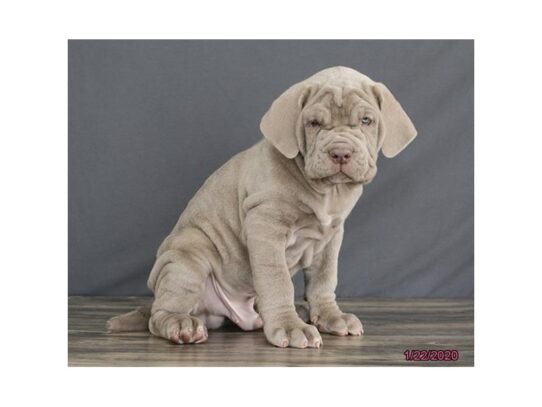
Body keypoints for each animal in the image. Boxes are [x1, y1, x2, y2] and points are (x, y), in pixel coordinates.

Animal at [108, 65, 418, 350]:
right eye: (314, 123)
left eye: (366, 120)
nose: (340, 153)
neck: (327, 191)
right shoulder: (265, 225)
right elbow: (277, 280)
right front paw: (290, 327)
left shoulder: (332, 234)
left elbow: (324, 278)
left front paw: (331, 316)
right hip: (187, 254)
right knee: (161, 313)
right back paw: (182, 324)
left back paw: (300, 312)